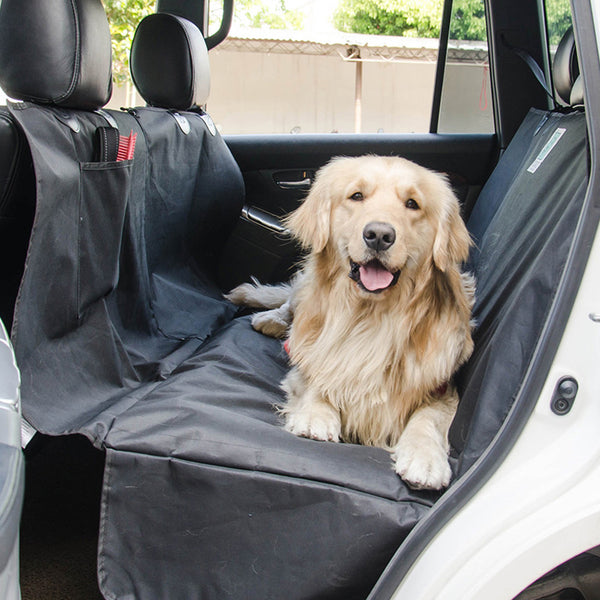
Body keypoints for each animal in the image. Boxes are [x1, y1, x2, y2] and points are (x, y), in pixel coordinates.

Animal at [227, 157, 476, 490]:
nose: (379, 235)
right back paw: (271, 318)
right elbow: (318, 374)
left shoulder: (442, 388)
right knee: (290, 303)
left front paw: (425, 458)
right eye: (356, 196)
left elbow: (428, 418)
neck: (369, 318)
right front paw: (316, 415)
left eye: (412, 204)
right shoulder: (309, 357)